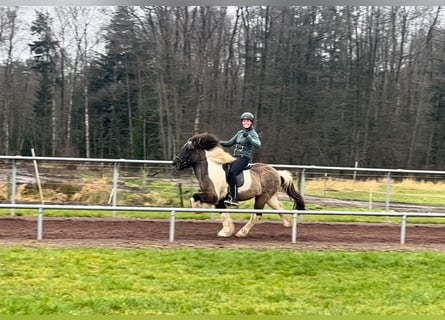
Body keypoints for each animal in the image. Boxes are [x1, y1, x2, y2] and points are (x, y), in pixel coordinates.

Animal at [171, 132, 306, 238]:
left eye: (189, 149)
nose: (175, 163)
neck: (211, 169)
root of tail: (277, 172)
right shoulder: (219, 199)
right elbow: (223, 213)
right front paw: (226, 231)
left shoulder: (213, 196)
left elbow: (194, 197)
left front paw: (198, 210)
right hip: (270, 198)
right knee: (280, 208)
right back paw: (287, 224)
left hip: (262, 198)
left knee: (257, 215)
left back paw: (242, 233)